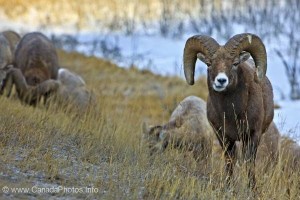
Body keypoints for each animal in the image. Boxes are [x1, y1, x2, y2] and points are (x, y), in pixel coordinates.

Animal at [183, 33, 274, 188]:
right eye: (209, 64)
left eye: (235, 63)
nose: (221, 81)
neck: (232, 113)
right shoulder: (223, 137)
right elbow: (229, 161)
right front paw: (229, 185)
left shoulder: (253, 135)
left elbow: (249, 163)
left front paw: (252, 188)